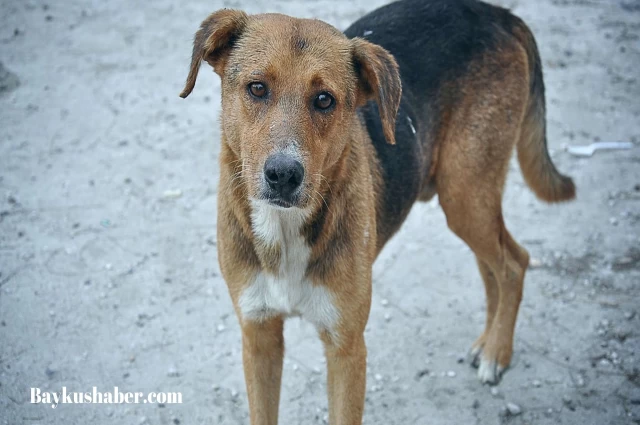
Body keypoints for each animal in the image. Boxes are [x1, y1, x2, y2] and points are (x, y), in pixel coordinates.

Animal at [179, 1, 576, 422]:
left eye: (325, 99)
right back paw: (488, 342)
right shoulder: (259, 338)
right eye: (257, 88)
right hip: (468, 201)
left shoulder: (347, 348)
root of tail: (497, 14)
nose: (283, 175)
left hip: (465, 195)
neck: (284, 230)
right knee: (494, 266)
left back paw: (497, 352)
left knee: (514, 262)